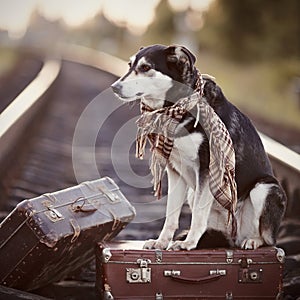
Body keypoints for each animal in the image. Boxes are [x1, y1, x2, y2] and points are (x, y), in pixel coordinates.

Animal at [110, 44, 286, 250]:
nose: (114, 87)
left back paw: (252, 240)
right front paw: (162, 242)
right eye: (130, 65)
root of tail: (232, 237)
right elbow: (171, 215)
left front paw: (188, 243)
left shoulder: (208, 169)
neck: (178, 106)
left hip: (265, 188)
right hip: (193, 194)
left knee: (267, 238)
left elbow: (198, 216)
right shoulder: (174, 171)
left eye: (146, 67)